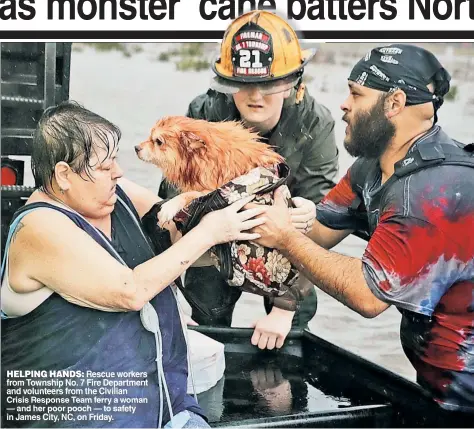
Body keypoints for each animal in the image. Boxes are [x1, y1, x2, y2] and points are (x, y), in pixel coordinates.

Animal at [135, 115, 284, 222]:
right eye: (150, 136)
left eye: (158, 142)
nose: (136, 148)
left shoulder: (216, 191)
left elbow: (190, 194)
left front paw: (169, 207)